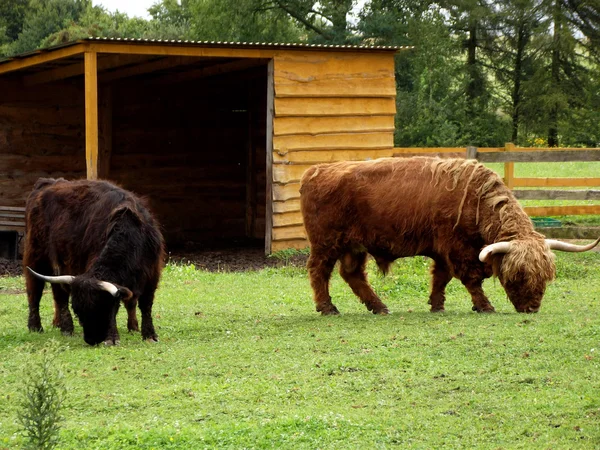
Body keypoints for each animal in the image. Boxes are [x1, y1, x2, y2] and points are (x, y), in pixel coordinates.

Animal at [24, 178, 164, 346]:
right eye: (78, 311)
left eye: (102, 307)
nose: (91, 340)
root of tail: (48, 183)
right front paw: (112, 338)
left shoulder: (152, 273)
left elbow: (145, 304)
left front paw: (149, 334)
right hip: (36, 257)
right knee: (35, 291)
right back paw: (38, 326)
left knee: (58, 294)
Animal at [302, 158, 596, 316]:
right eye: (518, 275)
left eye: (544, 275)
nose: (532, 307)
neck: (477, 201)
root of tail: (315, 170)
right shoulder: (457, 248)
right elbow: (471, 279)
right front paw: (484, 306)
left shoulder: (442, 250)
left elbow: (441, 278)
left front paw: (437, 305)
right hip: (327, 243)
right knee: (319, 271)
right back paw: (327, 307)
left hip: (354, 246)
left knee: (352, 274)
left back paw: (379, 306)